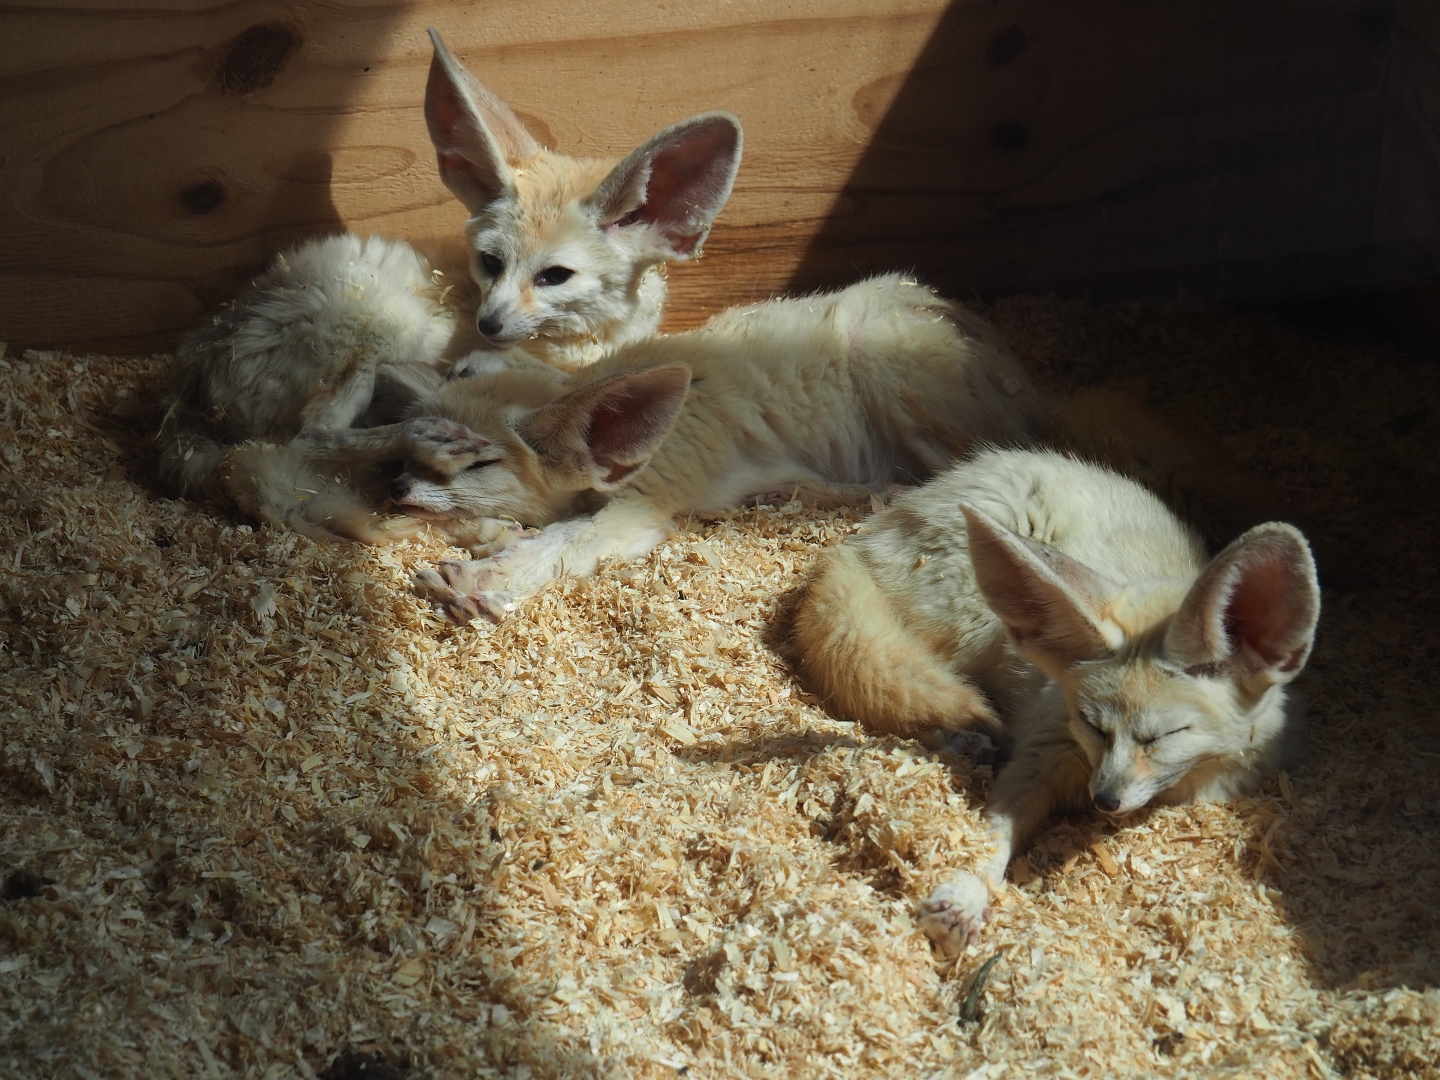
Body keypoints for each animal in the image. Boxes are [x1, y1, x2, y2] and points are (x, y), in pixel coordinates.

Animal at [789, 448, 1321, 952]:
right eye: (1092, 724)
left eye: (1164, 736)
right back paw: (961, 739)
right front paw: (965, 894)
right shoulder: (1040, 751)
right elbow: (992, 833)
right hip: (972, 626)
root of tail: (865, 538)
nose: (1104, 801)